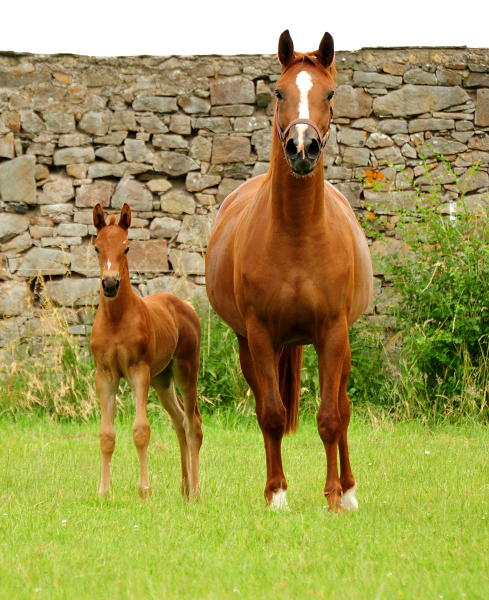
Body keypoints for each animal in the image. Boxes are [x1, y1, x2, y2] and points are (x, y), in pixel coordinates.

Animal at [89, 204, 202, 500]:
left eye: (127, 248)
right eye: (97, 247)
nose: (110, 284)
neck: (116, 320)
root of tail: (184, 306)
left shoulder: (138, 371)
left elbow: (141, 430)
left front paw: (145, 491)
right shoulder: (105, 375)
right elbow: (106, 435)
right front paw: (103, 492)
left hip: (186, 370)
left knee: (193, 425)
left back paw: (196, 493)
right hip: (162, 380)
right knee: (179, 422)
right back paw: (185, 488)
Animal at [205, 31, 370, 510]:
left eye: (329, 94)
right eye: (278, 92)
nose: (301, 148)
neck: (297, 233)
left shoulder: (333, 333)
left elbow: (331, 417)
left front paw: (333, 496)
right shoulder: (259, 336)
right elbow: (273, 416)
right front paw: (277, 494)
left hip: (341, 346)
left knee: (344, 407)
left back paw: (349, 490)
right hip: (249, 347)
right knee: (268, 407)